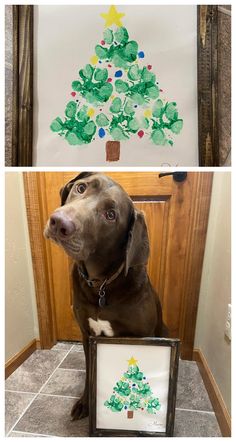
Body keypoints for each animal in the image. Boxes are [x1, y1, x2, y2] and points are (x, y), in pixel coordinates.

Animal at [44, 171, 166, 420]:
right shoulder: (87, 335)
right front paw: (85, 404)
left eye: (110, 215)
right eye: (81, 188)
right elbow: (91, 373)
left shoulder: (144, 337)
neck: (101, 285)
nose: (59, 222)